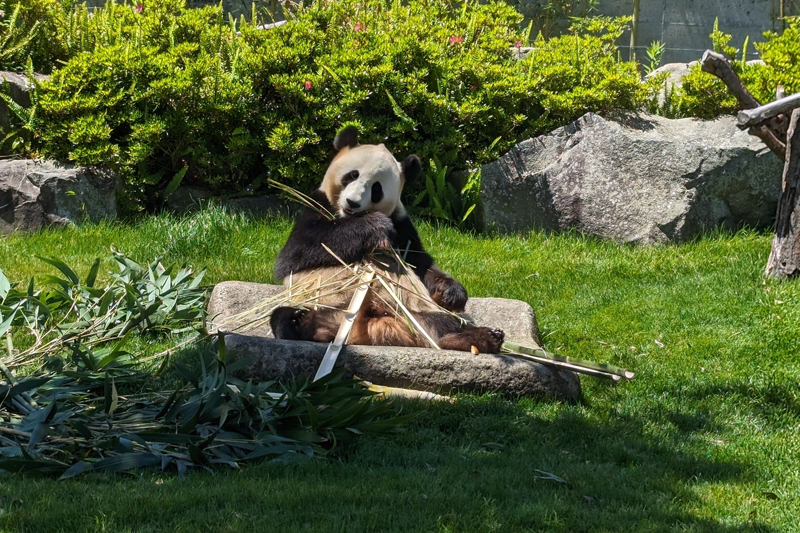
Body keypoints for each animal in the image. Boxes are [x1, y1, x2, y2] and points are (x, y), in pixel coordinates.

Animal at [272, 127, 504, 354]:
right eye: (352, 175)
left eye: (376, 188)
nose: (352, 203)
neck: (348, 217)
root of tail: (369, 328)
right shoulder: (315, 207)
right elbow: (298, 254)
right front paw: (375, 226)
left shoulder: (403, 227)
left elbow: (420, 265)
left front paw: (451, 293)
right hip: (326, 307)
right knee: (281, 315)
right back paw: (299, 322)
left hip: (411, 312)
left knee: (443, 322)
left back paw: (477, 338)